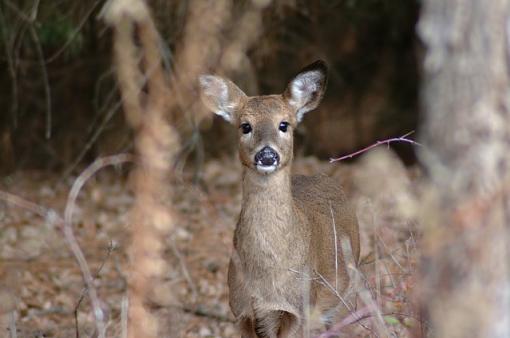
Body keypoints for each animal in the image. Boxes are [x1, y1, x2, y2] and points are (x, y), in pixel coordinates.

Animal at [199, 61, 362, 338]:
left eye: (284, 124)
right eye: (245, 126)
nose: (267, 154)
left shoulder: (298, 309)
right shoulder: (241, 310)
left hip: (345, 294)